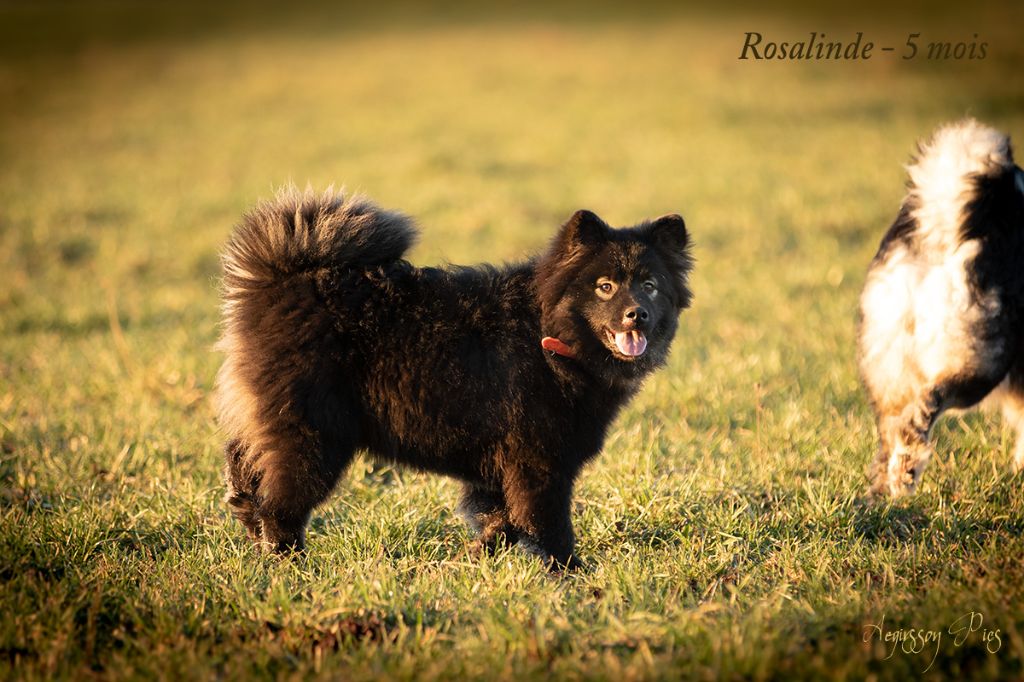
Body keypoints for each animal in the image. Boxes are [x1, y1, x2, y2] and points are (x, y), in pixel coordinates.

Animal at [215, 188, 692, 568]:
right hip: (314, 439)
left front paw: (472, 559)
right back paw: (289, 562)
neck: (547, 333)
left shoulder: (502, 466)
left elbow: (504, 521)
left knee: (246, 475)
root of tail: (281, 281)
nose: (637, 314)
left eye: (650, 285)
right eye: (605, 287)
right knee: (280, 505)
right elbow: (547, 524)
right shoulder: (540, 462)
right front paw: (572, 574)